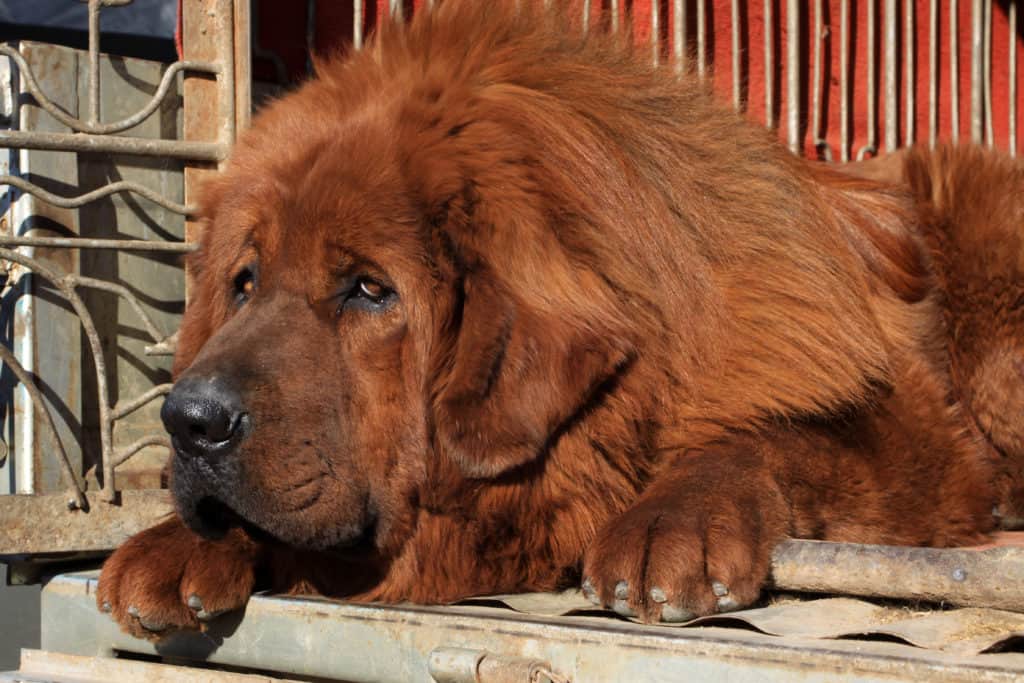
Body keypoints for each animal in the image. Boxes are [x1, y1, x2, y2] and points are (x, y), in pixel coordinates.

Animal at [97, 1, 1024, 643]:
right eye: (245, 282)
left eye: (368, 289)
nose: (189, 419)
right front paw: (174, 542)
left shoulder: (919, 443)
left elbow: (777, 432)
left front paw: (670, 520)